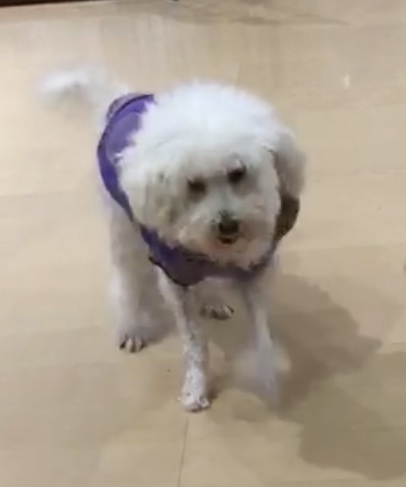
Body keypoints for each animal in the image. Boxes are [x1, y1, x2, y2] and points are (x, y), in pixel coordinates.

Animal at [42, 67, 306, 411]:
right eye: (194, 184)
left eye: (238, 173)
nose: (228, 225)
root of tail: (121, 99)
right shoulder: (176, 282)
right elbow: (195, 343)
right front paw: (196, 388)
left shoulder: (254, 273)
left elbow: (261, 334)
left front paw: (266, 374)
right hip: (123, 233)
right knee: (126, 282)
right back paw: (132, 326)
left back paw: (213, 300)